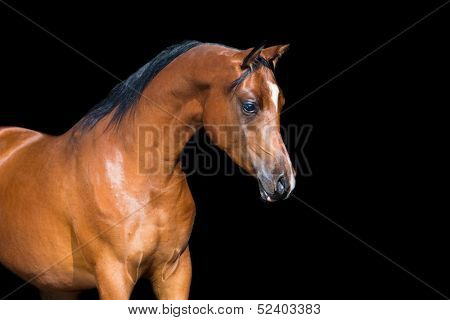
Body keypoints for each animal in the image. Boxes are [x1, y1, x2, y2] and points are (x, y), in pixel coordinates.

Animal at [0, 41, 296, 298]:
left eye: (280, 103)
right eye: (249, 105)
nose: (284, 182)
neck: (136, 172)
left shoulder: (175, 272)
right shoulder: (114, 277)